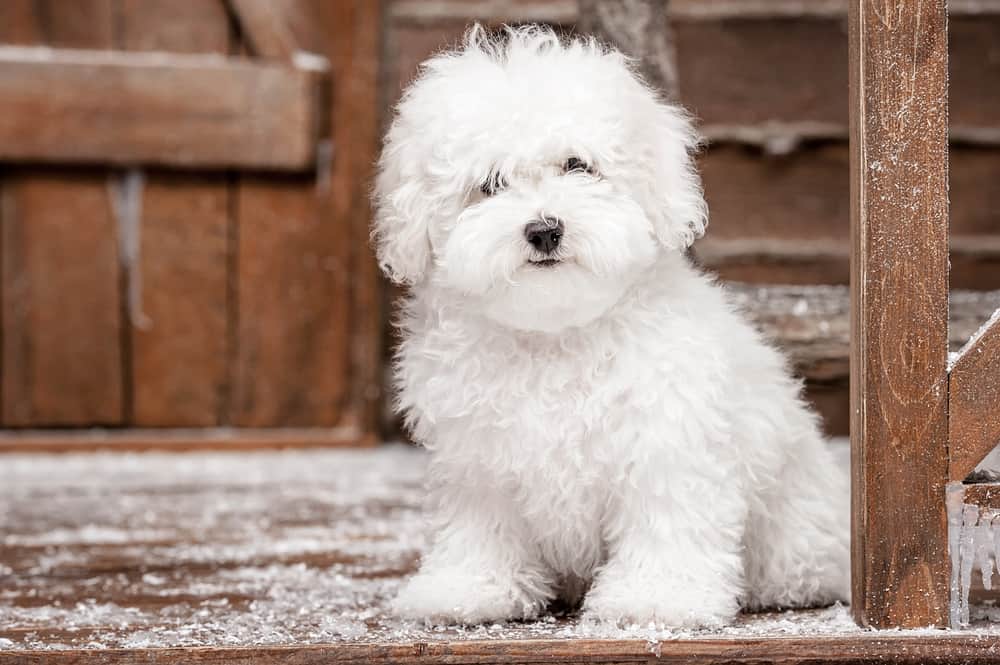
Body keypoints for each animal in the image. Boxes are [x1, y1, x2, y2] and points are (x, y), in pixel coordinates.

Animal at [376, 27, 852, 628]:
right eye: (490, 184)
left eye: (578, 165)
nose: (544, 230)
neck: (557, 334)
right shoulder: (477, 457)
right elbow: (482, 522)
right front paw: (469, 587)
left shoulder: (666, 442)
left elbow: (666, 517)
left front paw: (656, 597)